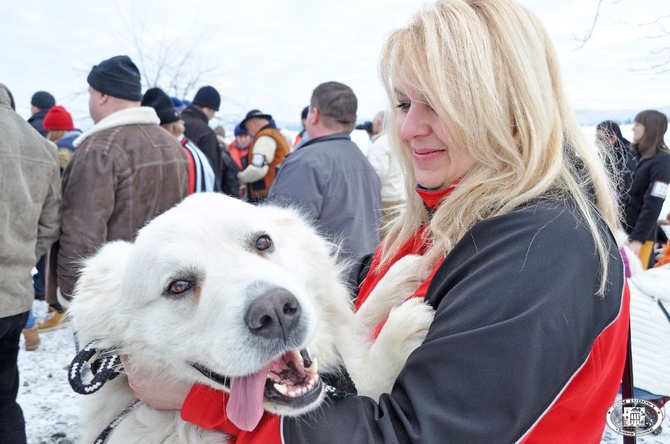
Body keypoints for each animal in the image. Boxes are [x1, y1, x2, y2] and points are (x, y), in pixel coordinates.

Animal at [68, 193, 436, 442]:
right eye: (179, 286)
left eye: (262, 242)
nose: (275, 310)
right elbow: (372, 378)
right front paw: (400, 331)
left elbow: (355, 323)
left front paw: (400, 275)